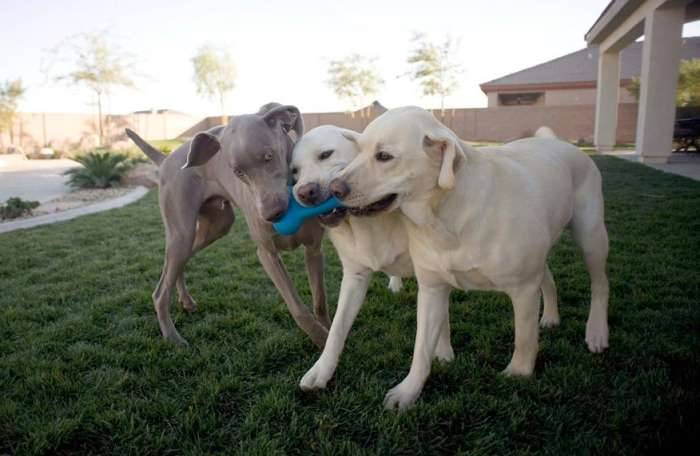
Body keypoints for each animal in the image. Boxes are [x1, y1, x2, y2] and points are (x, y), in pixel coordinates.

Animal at [126, 102, 330, 346]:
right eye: (238, 172)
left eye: (269, 156)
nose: (272, 215)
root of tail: (166, 158)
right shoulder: (267, 254)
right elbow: (297, 308)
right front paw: (323, 341)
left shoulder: (314, 250)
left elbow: (320, 301)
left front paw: (331, 333)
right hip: (181, 232)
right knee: (160, 291)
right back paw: (173, 337)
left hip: (217, 224)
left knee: (178, 265)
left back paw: (185, 301)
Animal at [328, 108, 608, 412]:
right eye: (358, 150)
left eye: (384, 156)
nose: (333, 188)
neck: (444, 216)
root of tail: (559, 143)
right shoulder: (432, 289)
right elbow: (421, 349)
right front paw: (409, 390)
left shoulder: (523, 289)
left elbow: (524, 338)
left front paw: (518, 374)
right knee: (549, 278)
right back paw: (551, 317)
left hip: (591, 236)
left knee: (600, 285)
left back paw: (597, 333)